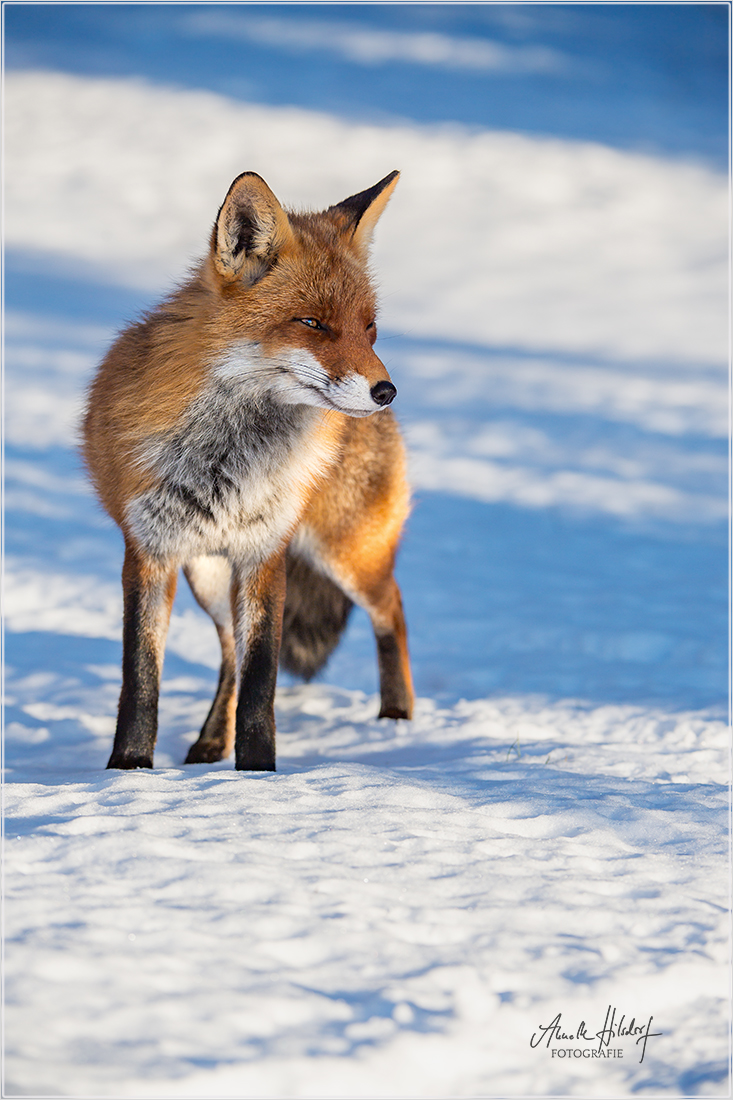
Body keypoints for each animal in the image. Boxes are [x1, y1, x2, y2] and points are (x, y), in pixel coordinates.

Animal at [83, 169, 414, 772]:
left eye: (369, 328)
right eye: (312, 323)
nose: (386, 392)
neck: (229, 460)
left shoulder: (266, 552)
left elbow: (263, 675)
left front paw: (258, 773)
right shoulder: (148, 551)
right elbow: (141, 678)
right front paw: (129, 770)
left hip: (348, 553)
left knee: (393, 610)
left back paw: (398, 719)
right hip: (210, 578)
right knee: (227, 655)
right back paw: (210, 743)